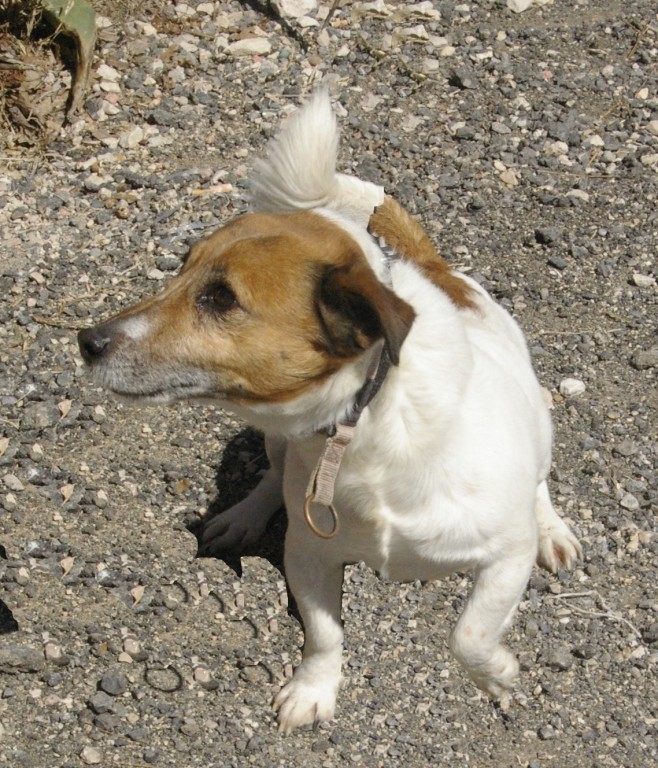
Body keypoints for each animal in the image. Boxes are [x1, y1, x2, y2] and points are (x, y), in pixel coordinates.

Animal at [78, 90, 580, 732]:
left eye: (220, 298)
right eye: (180, 269)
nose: (87, 340)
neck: (367, 423)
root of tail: (437, 269)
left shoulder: (505, 558)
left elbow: (468, 634)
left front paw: (496, 674)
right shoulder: (309, 553)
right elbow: (323, 635)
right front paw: (313, 690)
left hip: (541, 421)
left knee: (540, 484)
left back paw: (553, 529)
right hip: (274, 446)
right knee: (273, 477)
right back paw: (244, 514)